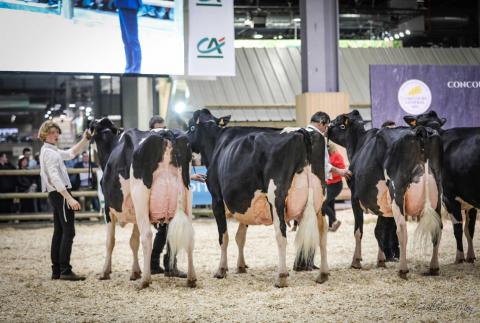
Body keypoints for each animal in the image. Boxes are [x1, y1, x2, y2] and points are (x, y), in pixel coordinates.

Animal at [89, 118, 196, 288]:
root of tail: (166, 132)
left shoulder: (107, 208)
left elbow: (110, 242)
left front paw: (105, 272)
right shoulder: (135, 214)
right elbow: (133, 242)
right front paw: (135, 272)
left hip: (140, 193)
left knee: (147, 236)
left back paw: (145, 280)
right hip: (187, 192)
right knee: (190, 236)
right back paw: (191, 278)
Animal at [186, 109, 328, 288]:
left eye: (191, 128)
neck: (216, 143)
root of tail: (302, 131)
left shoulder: (216, 198)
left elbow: (224, 237)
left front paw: (221, 270)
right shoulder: (245, 201)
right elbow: (240, 236)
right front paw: (241, 266)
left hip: (277, 198)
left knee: (281, 234)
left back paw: (281, 277)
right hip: (319, 198)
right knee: (322, 234)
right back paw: (323, 274)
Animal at [328, 111, 444, 278]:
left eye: (338, 121)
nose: (326, 127)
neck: (359, 143)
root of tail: (420, 130)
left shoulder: (354, 198)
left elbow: (358, 231)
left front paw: (356, 261)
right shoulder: (383, 204)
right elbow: (379, 231)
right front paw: (381, 260)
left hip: (397, 190)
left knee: (401, 228)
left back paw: (403, 269)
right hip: (438, 193)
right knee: (438, 228)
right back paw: (433, 267)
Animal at [406, 110, 478, 264]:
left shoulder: (448, 198)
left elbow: (457, 229)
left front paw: (459, 257)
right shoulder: (470, 203)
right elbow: (469, 229)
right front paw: (470, 256)